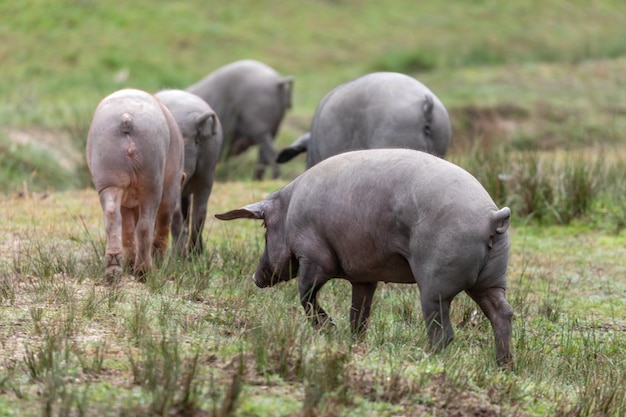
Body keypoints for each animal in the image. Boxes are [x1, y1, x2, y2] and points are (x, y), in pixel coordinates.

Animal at [85, 89, 184, 282]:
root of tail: (127, 118)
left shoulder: (124, 198)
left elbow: (127, 229)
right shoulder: (171, 187)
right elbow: (163, 223)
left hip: (109, 178)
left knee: (113, 216)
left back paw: (114, 271)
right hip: (152, 181)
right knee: (146, 225)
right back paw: (145, 272)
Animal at [154, 89, 222, 255]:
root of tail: (195, 122)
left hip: (179, 168)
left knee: (176, 212)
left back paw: (178, 254)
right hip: (208, 170)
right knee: (200, 212)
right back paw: (195, 252)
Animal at [214, 148, 512, 362]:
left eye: (265, 226)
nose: (255, 277)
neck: (288, 211)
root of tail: (492, 217)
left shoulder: (314, 256)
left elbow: (306, 295)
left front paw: (329, 330)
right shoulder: (364, 278)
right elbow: (359, 314)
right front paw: (353, 343)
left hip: (435, 285)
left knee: (444, 333)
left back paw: (426, 359)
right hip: (490, 282)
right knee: (502, 314)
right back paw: (503, 365)